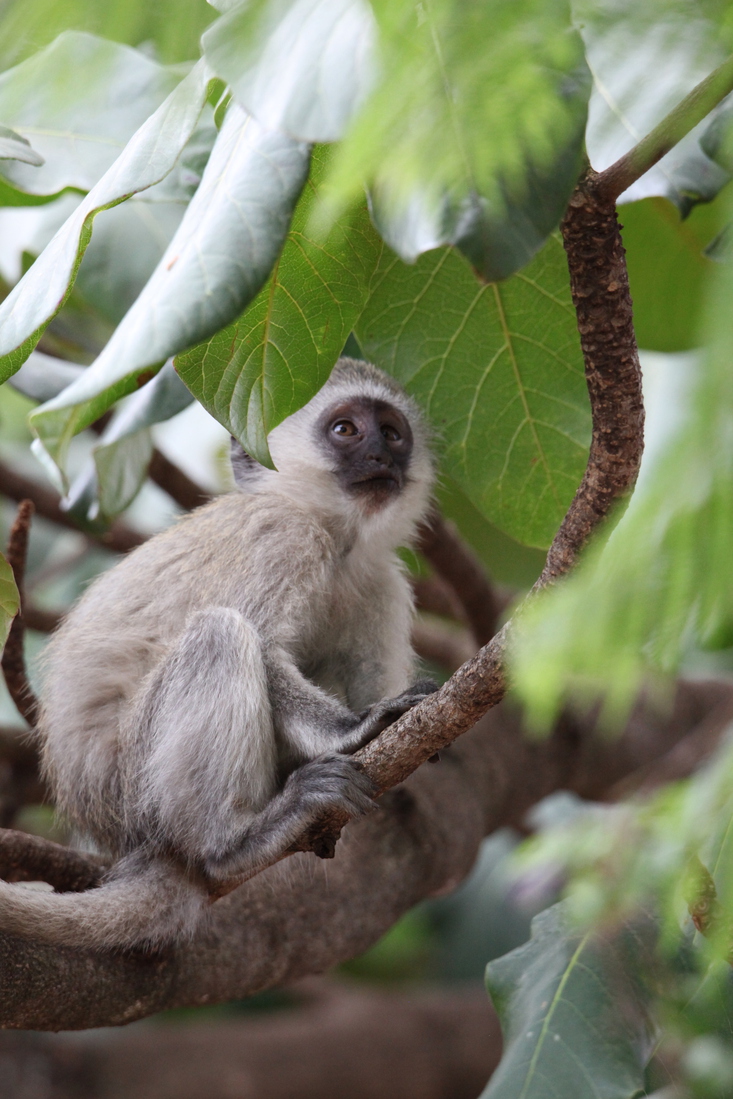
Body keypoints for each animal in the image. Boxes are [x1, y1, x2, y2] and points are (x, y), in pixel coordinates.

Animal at [0, 356, 435, 949]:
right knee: (219, 634)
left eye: (392, 433)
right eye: (346, 429)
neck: (337, 542)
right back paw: (231, 844)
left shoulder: (382, 582)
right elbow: (266, 649)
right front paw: (354, 729)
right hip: (135, 786)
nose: (381, 457)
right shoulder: (280, 536)